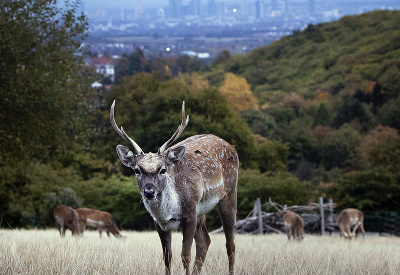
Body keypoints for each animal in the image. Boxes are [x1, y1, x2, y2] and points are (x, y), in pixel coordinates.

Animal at [110, 101, 238, 275]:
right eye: (137, 170)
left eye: (163, 169)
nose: (149, 191)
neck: (169, 212)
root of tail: (232, 146)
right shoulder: (159, 223)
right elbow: (167, 257)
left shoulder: (190, 214)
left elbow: (185, 255)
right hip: (201, 212)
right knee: (205, 241)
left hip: (229, 192)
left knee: (230, 243)